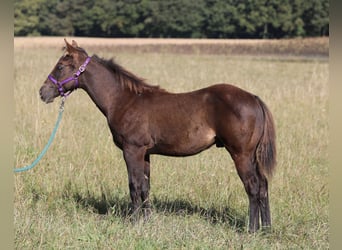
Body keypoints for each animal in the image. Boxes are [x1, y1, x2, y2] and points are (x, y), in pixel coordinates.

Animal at [39, 39, 276, 232]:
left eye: (60, 66)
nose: (43, 92)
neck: (124, 100)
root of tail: (254, 98)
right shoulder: (145, 153)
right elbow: (145, 186)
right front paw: (147, 221)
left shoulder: (132, 150)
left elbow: (134, 186)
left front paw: (134, 223)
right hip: (251, 156)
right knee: (263, 185)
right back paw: (266, 229)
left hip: (241, 154)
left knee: (253, 187)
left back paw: (252, 230)